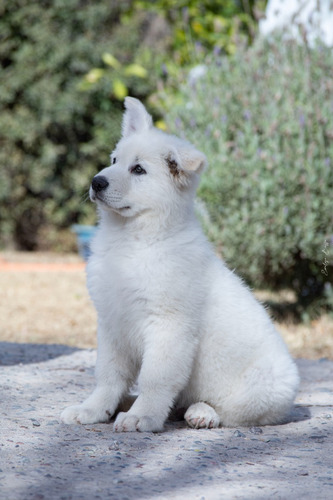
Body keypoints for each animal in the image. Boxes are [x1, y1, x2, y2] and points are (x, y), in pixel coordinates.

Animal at [61, 98, 298, 434]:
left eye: (138, 170)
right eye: (114, 160)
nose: (96, 182)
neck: (135, 240)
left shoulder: (169, 326)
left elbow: (154, 378)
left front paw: (142, 416)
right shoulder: (112, 323)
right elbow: (108, 376)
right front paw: (93, 409)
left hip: (260, 389)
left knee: (228, 411)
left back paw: (200, 412)